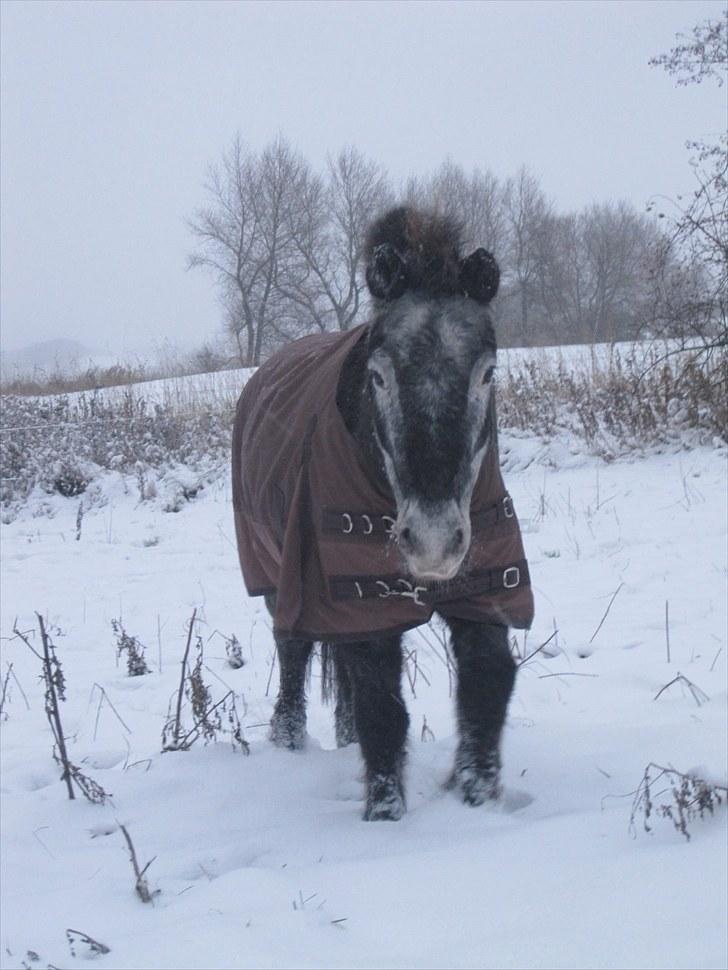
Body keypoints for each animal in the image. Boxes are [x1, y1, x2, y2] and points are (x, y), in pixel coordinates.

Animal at [233, 204, 536, 816]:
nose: (434, 543)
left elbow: (487, 686)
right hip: (278, 579)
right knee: (293, 652)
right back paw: (288, 740)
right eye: (378, 375)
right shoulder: (359, 600)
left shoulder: (486, 588)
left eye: (487, 373)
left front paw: (479, 801)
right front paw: (384, 814)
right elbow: (383, 709)